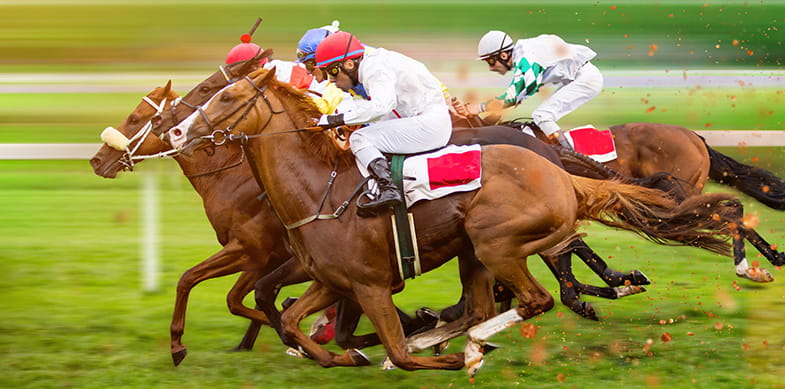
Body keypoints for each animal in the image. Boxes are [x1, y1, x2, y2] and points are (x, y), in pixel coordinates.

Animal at [168, 68, 740, 372]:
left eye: (225, 95)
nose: (177, 133)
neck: (318, 190)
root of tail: (559, 172)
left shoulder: (369, 284)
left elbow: (396, 350)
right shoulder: (333, 280)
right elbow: (290, 318)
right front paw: (341, 354)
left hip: (494, 244)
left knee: (533, 296)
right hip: (475, 253)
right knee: (491, 302)